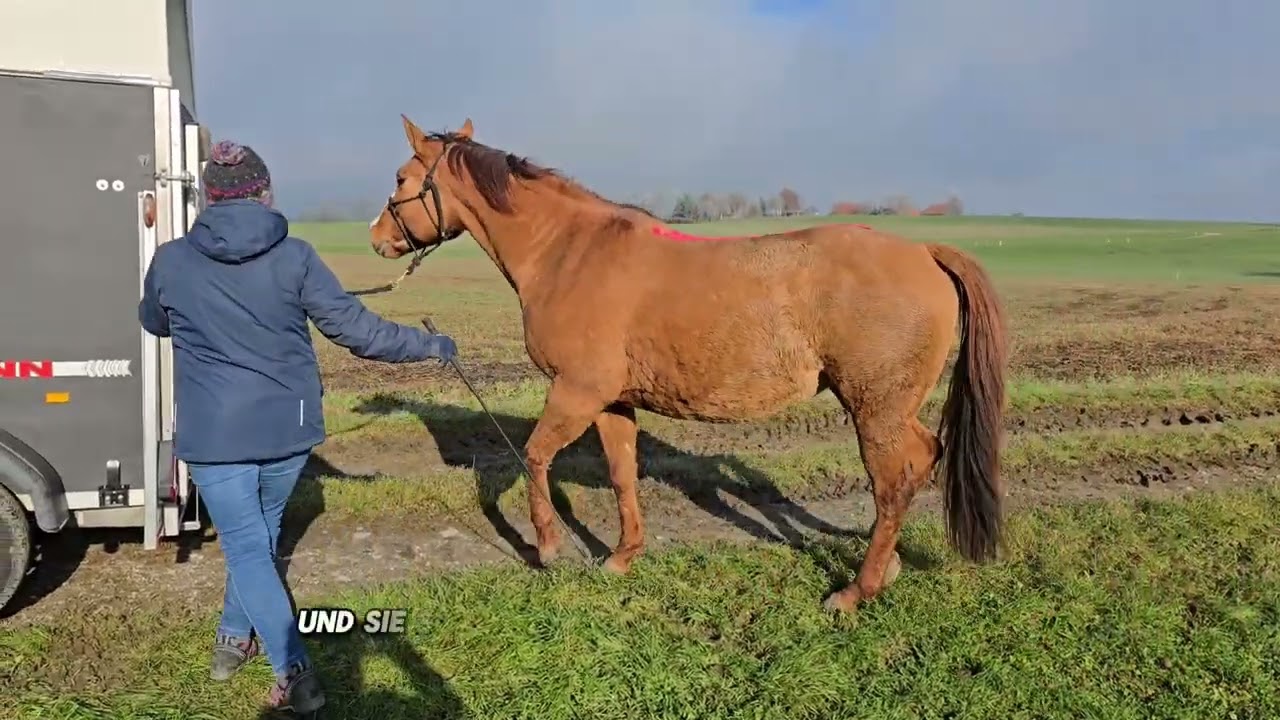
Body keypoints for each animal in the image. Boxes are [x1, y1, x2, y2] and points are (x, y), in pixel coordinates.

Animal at [368, 115, 1009, 612]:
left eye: (400, 179)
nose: (377, 238)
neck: (570, 252)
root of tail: (924, 250)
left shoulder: (577, 392)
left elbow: (534, 457)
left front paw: (547, 546)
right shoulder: (612, 401)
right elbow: (623, 474)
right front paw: (623, 556)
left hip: (875, 408)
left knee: (894, 480)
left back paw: (857, 590)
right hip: (892, 408)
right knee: (922, 458)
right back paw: (887, 568)